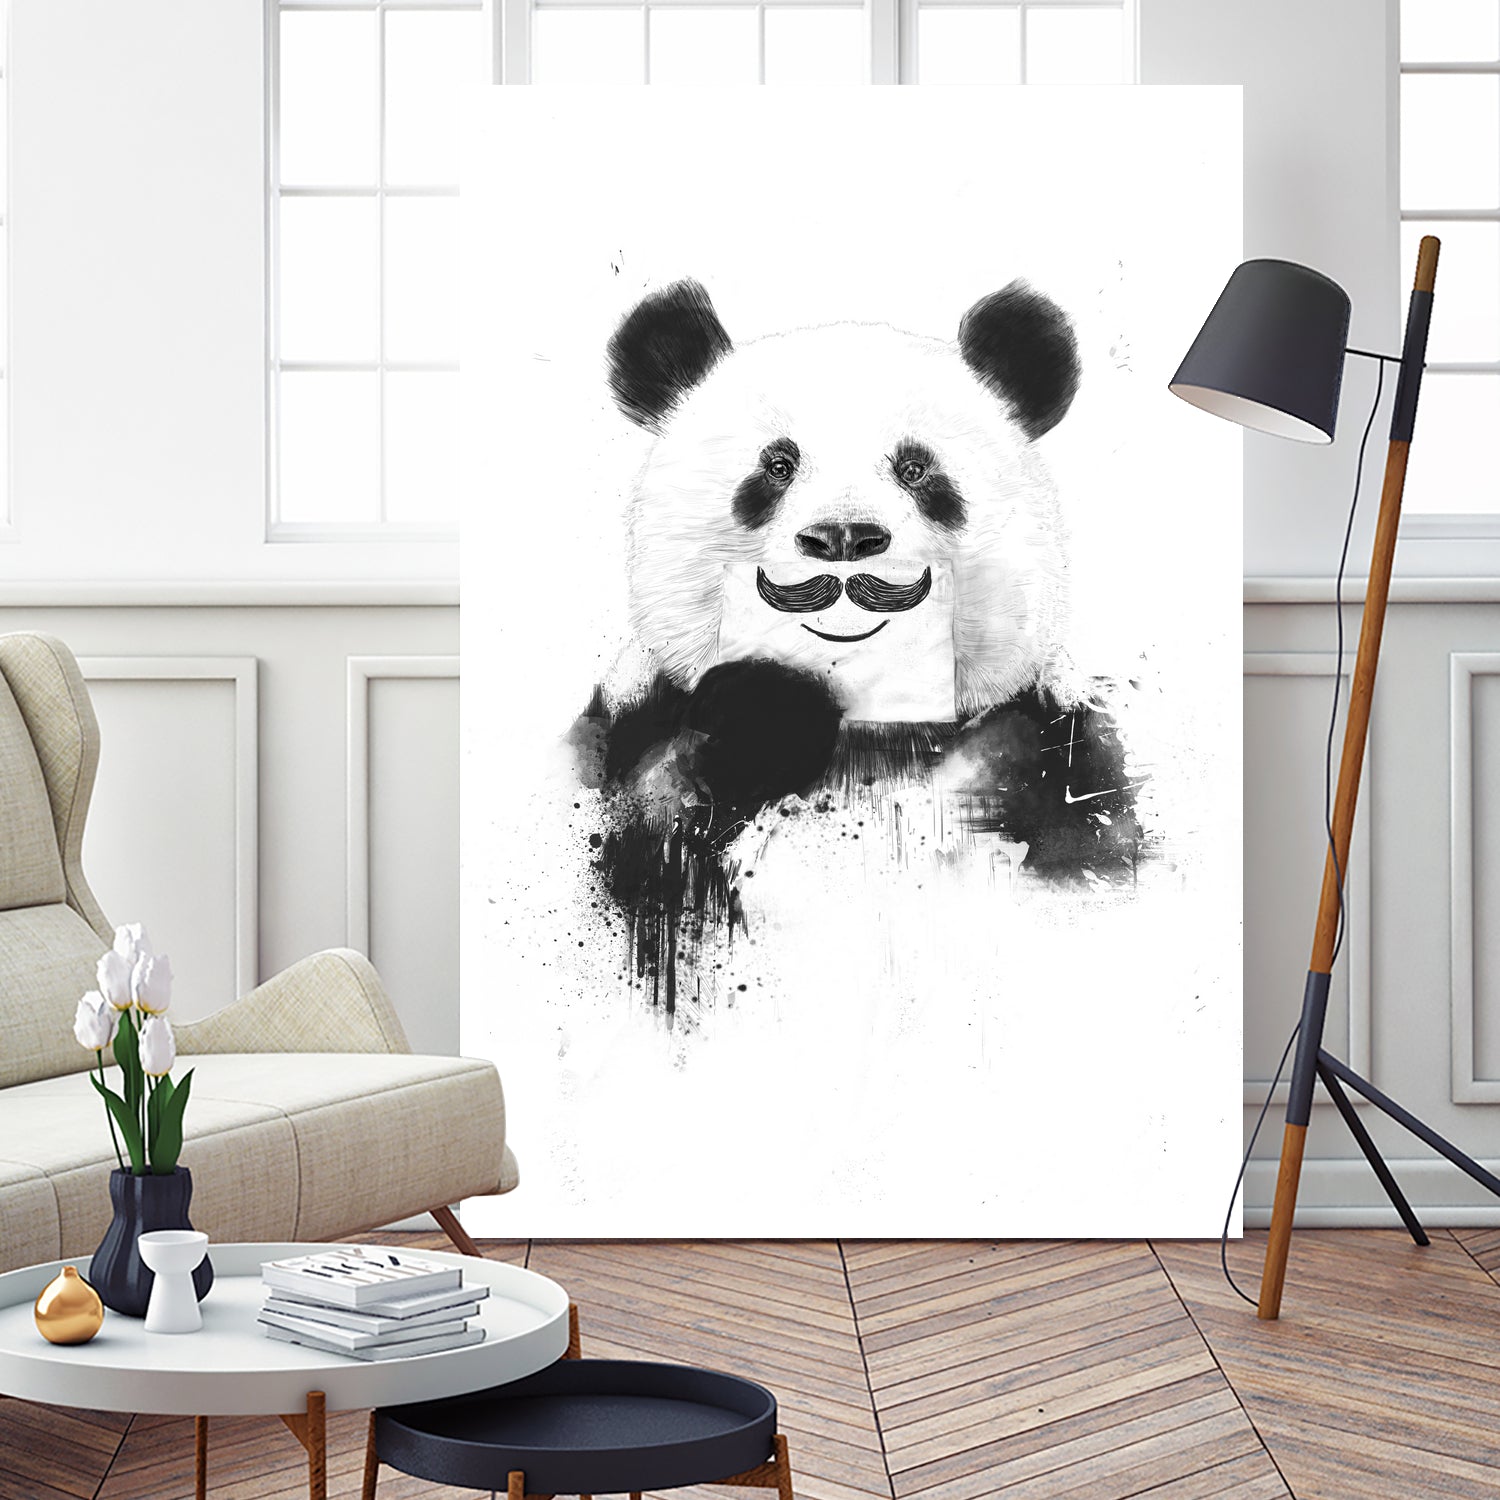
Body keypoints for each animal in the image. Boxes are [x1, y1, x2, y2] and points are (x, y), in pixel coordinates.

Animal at [571, 279, 1144, 1015]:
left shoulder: (1049, 744)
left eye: (915, 468)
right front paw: (765, 713)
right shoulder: (626, 738)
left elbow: (1090, 847)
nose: (843, 537)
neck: (866, 732)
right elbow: (651, 840)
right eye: (777, 466)